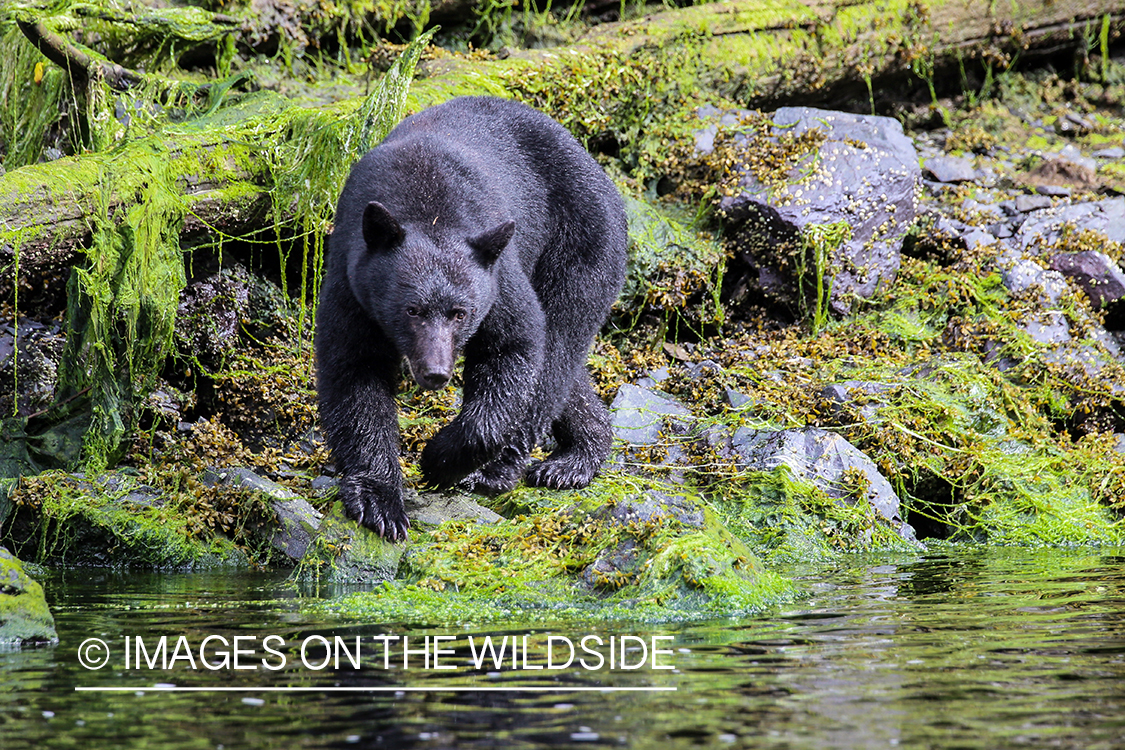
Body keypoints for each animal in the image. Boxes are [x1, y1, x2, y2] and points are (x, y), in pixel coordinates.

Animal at [317, 96, 630, 541]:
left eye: (459, 313)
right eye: (411, 309)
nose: (435, 372)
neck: (426, 204)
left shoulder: (497, 276)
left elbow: (515, 346)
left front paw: (438, 459)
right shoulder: (352, 281)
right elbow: (355, 372)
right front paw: (380, 502)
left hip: (583, 240)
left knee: (557, 348)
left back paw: (503, 470)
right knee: (566, 373)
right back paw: (579, 453)